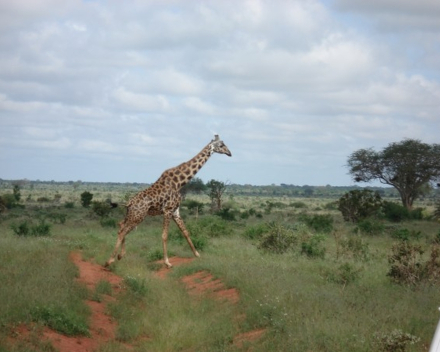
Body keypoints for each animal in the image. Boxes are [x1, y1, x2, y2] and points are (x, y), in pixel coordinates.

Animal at [105, 136, 232, 268]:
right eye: (221, 145)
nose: (230, 153)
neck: (179, 183)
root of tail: (129, 203)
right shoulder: (167, 210)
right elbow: (165, 235)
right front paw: (167, 262)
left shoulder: (175, 211)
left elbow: (185, 232)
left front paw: (197, 254)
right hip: (138, 216)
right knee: (123, 231)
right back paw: (109, 261)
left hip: (131, 215)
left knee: (120, 225)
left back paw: (120, 256)